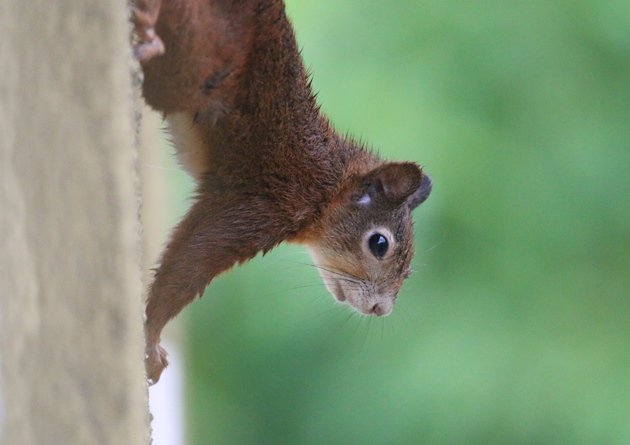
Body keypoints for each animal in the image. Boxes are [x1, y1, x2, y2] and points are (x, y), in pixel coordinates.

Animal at [131, 0, 432, 382]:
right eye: (379, 244)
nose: (381, 309)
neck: (326, 184)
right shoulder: (264, 205)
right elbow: (190, 262)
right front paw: (150, 336)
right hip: (197, 62)